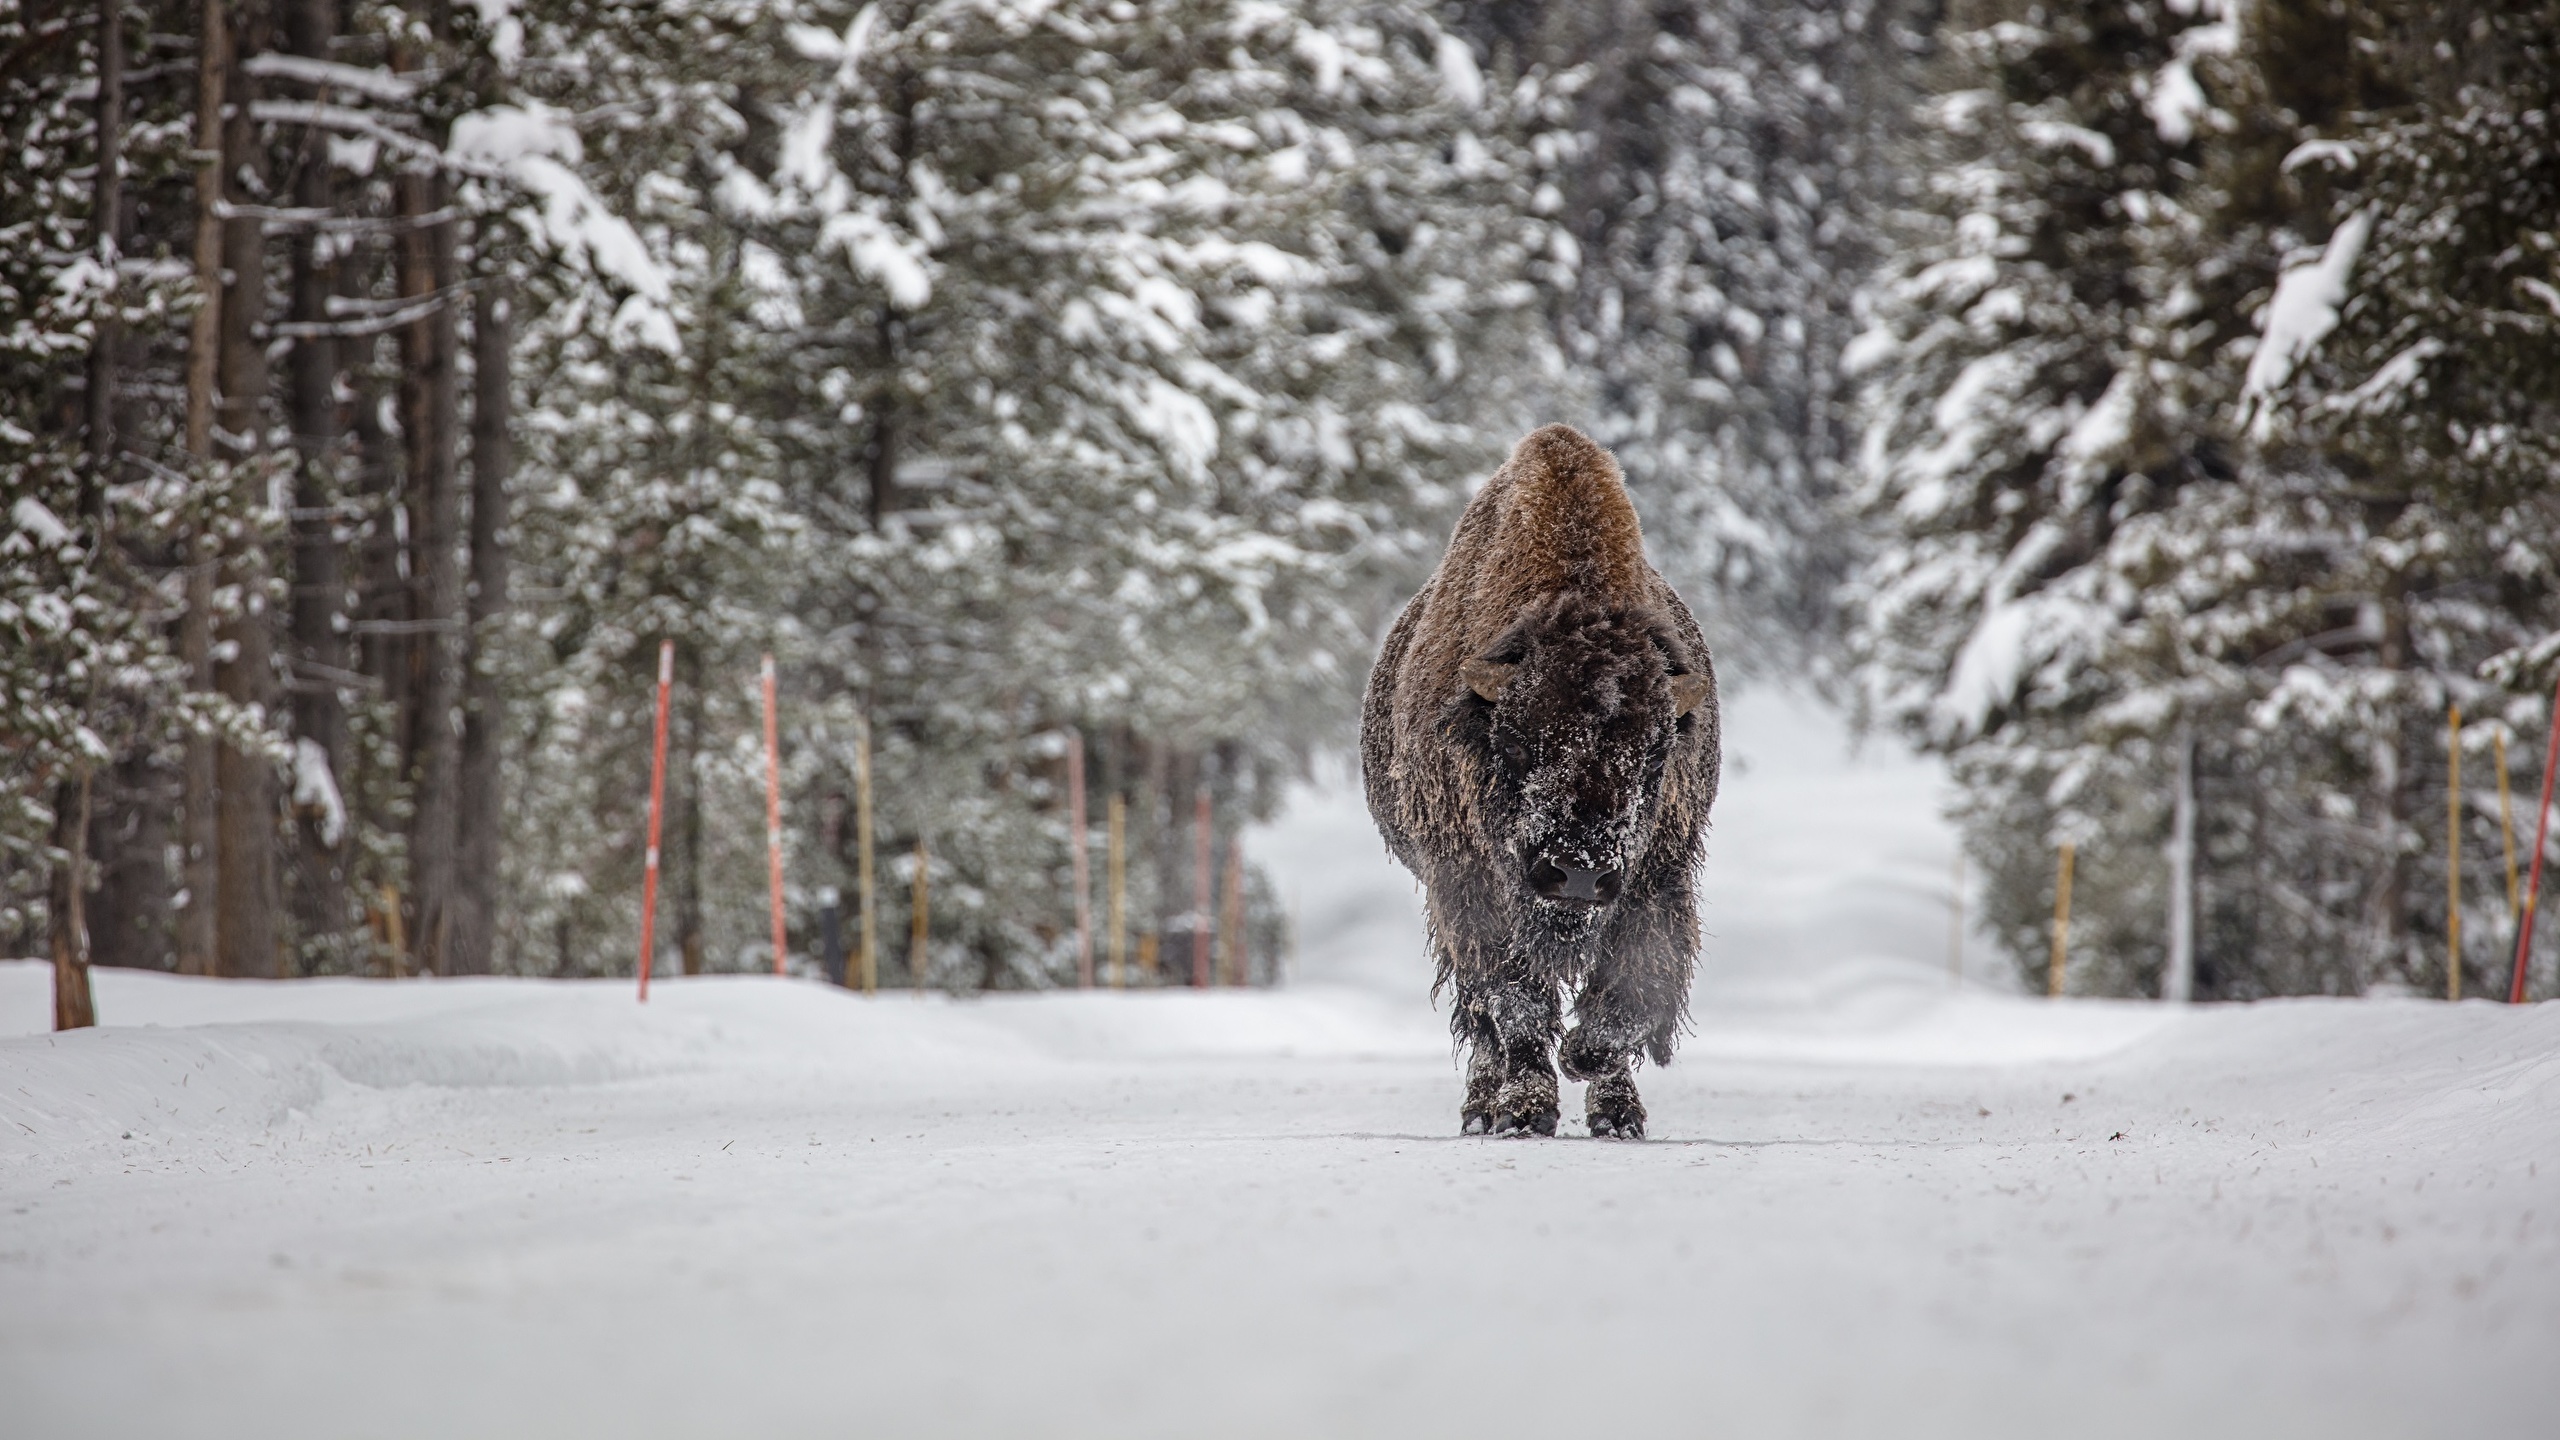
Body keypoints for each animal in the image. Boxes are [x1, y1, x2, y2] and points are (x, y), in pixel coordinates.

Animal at [1361, 425, 1720, 1138]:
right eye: (1519, 743)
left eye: (1656, 756)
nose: (1577, 873)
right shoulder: (1468, 884)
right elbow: (1514, 1000)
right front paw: (1526, 1111)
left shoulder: (1659, 875)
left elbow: (1632, 989)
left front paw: (1591, 1068)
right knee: (1480, 1020)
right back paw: (1483, 1109)